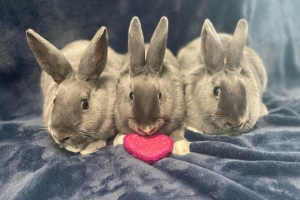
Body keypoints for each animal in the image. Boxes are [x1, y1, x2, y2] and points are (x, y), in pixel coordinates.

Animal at [112, 16, 190, 155]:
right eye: (131, 95)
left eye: (160, 95)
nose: (147, 129)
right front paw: (119, 139)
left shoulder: (180, 117)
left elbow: (177, 131)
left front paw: (181, 148)